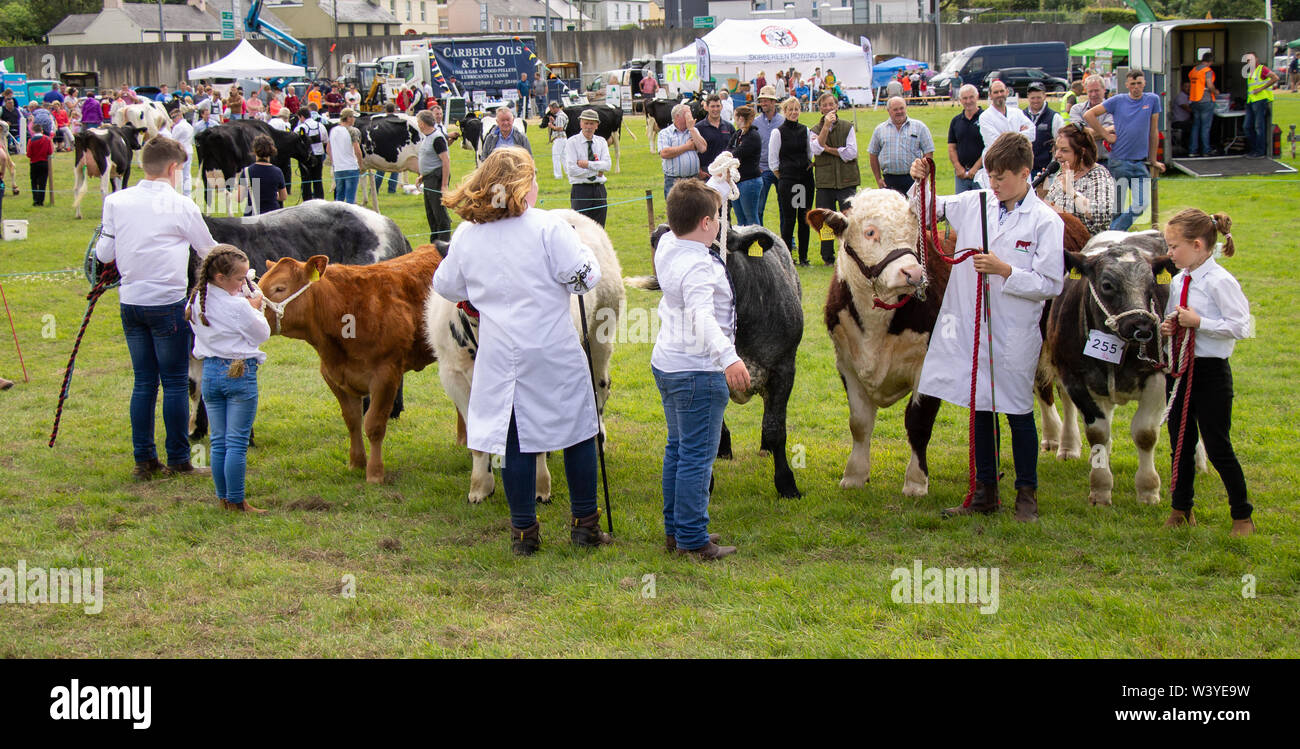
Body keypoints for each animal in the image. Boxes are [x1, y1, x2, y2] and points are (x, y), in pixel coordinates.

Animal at [1045, 231, 1196, 507]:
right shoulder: (1074, 378)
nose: (1143, 325)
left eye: (1151, 284)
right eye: (1107, 285)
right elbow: (1098, 432)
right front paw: (1100, 487)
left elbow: (1145, 433)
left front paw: (1148, 489)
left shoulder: (1158, 375)